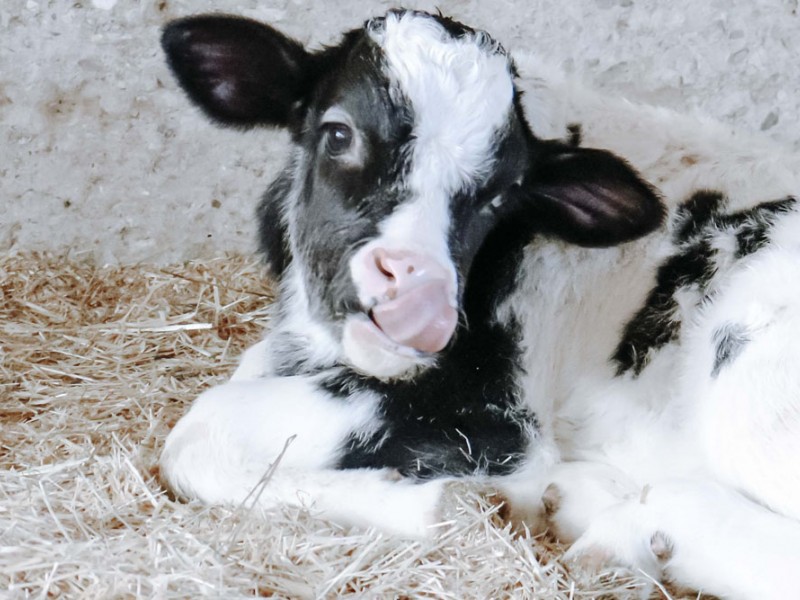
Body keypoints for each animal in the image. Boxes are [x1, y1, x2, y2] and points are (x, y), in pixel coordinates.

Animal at [158, 10, 800, 598]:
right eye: (338, 133)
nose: (417, 295)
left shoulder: (492, 410)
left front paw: (440, 505)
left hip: (748, 387)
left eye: (500, 197)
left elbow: (198, 428)